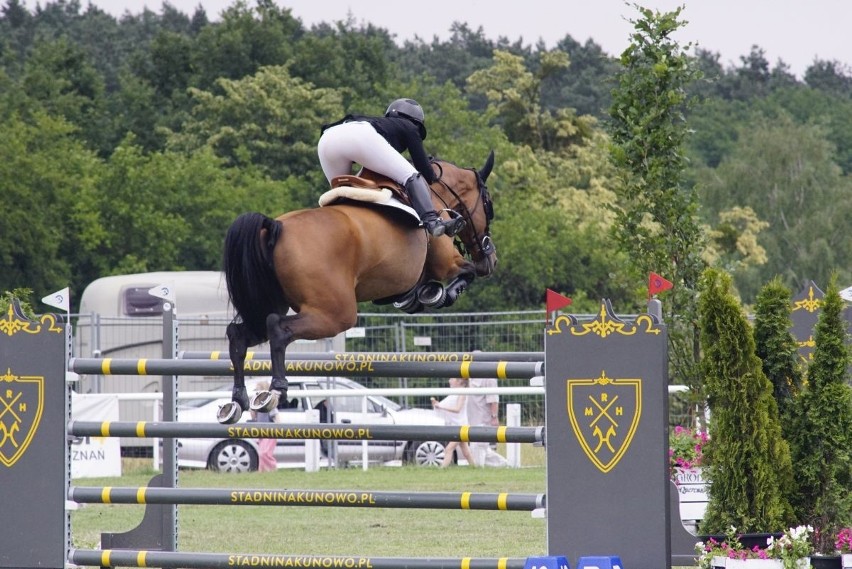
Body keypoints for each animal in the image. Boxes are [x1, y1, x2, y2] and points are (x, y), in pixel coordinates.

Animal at [218, 151, 500, 422]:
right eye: (488, 205)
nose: (491, 260)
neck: (434, 194)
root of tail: (275, 226)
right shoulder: (447, 263)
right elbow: (466, 273)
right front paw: (439, 294)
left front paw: (420, 296)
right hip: (336, 314)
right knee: (278, 329)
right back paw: (275, 391)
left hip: (269, 304)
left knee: (239, 334)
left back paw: (237, 401)